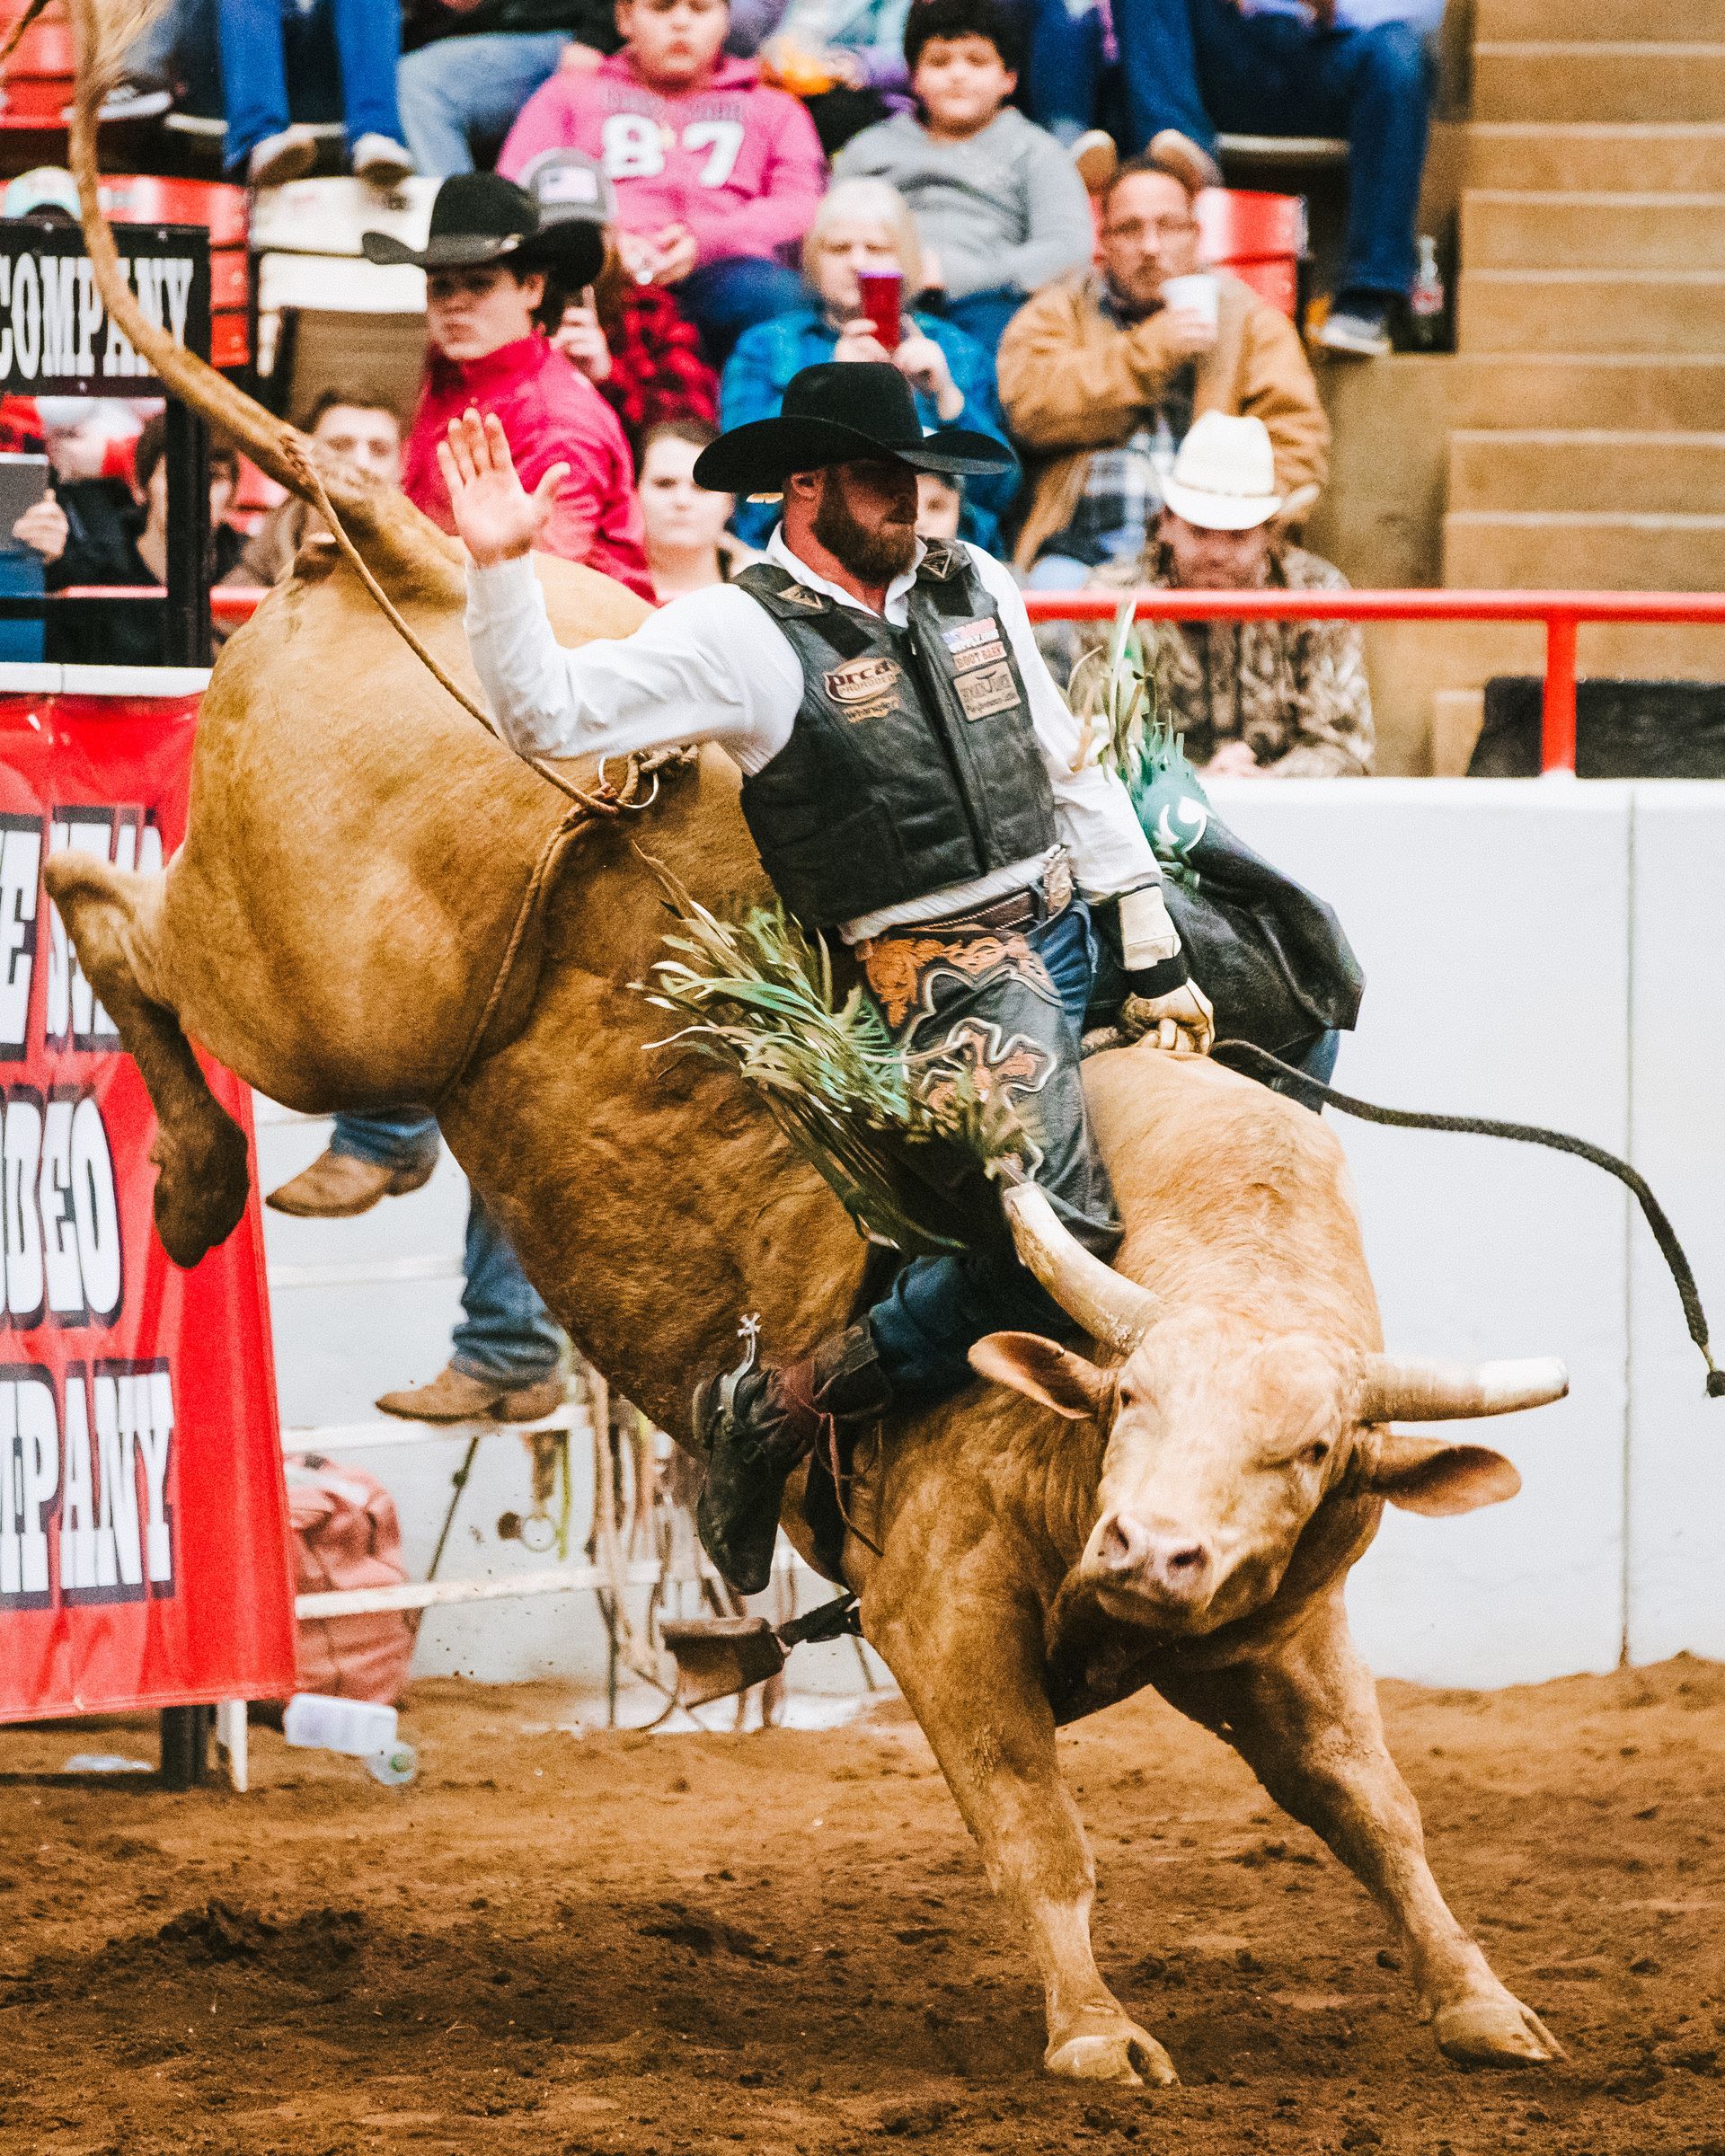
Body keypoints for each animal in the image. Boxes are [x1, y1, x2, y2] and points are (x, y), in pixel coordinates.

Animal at [47, 0, 1570, 2087]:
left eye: (1305, 1446)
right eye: (1133, 1406)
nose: (1151, 1555)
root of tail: (403, 553)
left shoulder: (1275, 1639)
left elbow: (1380, 1809)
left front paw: (1486, 2001)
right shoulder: (950, 1606)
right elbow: (1039, 1825)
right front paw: (1098, 2036)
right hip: (318, 988)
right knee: (110, 907)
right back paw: (200, 1176)